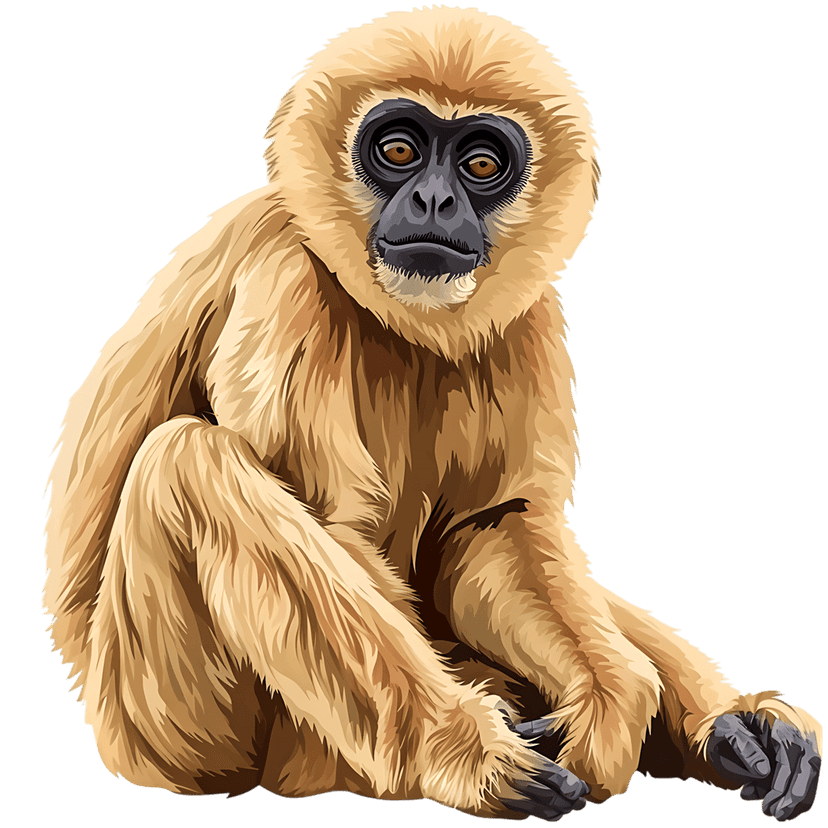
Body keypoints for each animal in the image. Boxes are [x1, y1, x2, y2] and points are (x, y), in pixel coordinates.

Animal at [43, 6, 821, 823]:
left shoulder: (530, 317)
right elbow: (336, 523)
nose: (436, 201)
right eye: (398, 150)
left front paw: (611, 702)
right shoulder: (284, 270)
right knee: (188, 459)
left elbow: (491, 527)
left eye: (480, 165)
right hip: (173, 730)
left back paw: (735, 729)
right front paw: (473, 750)